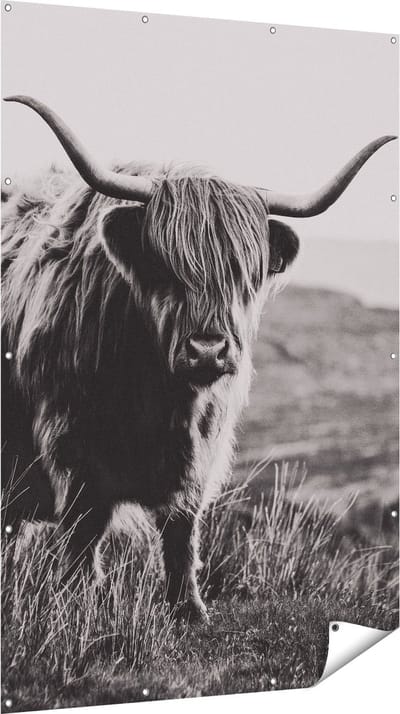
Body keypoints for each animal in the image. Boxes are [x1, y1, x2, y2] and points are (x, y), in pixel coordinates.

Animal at [1, 95, 396, 620]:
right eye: (165, 267)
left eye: (243, 273)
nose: (208, 349)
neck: (158, 396)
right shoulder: (71, 445)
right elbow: (84, 531)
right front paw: (79, 601)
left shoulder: (201, 450)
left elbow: (181, 530)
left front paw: (188, 608)